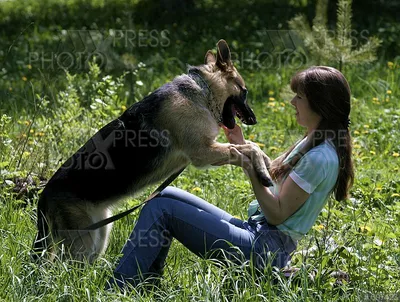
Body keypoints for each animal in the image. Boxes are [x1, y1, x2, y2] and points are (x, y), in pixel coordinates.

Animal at [32, 39, 272, 262]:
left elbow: (249, 146)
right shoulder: (204, 152)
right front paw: (263, 171)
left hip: (100, 234)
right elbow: (248, 149)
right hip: (83, 242)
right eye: (244, 92)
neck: (202, 90)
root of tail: (43, 199)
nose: (254, 119)